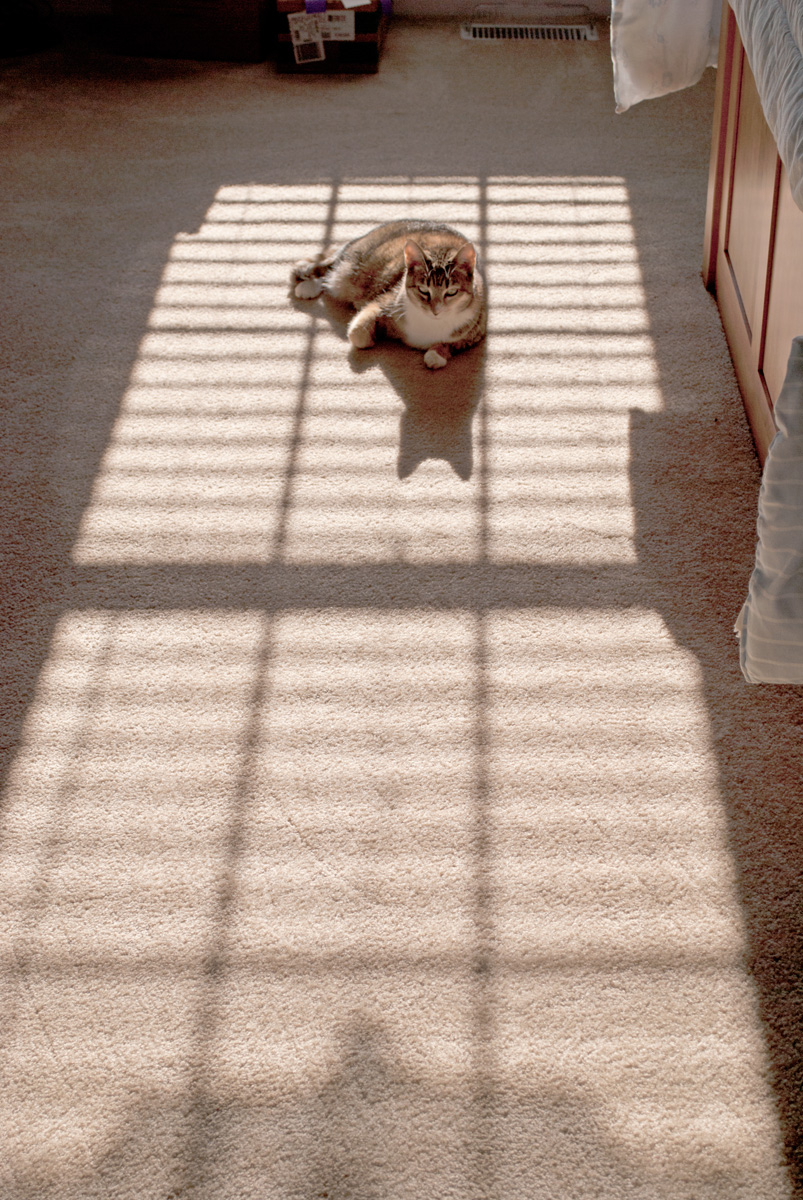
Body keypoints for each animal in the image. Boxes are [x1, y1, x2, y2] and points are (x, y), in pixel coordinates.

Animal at [291, 221, 486, 369]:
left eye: (451, 292)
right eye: (423, 290)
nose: (435, 310)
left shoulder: (475, 332)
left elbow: (452, 344)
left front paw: (436, 355)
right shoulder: (383, 302)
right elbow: (357, 333)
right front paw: (372, 336)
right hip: (350, 269)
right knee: (329, 267)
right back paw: (308, 285)